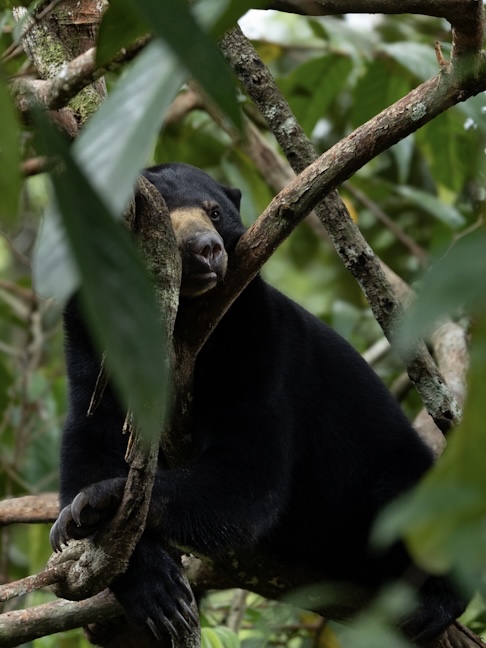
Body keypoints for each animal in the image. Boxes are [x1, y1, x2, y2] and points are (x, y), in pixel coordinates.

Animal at [50, 162, 465, 642]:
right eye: (157, 220)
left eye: (214, 211)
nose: (206, 249)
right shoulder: (89, 337)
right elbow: (91, 439)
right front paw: (152, 587)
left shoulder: (257, 339)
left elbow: (250, 468)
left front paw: (100, 501)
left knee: (410, 507)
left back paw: (432, 604)